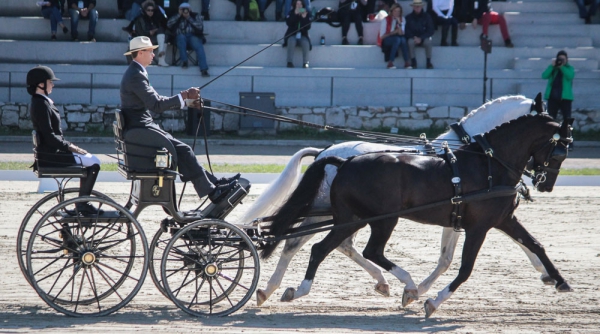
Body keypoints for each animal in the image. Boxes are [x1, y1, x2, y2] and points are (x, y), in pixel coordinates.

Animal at [239, 93, 552, 306]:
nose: (543, 181)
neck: (468, 154)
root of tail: (327, 153)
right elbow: (450, 259)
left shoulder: (459, 217)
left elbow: (449, 257)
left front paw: (545, 271)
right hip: (340, 213)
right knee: (303, 243)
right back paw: (272, 288)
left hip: (335, 213)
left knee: (327, 244)